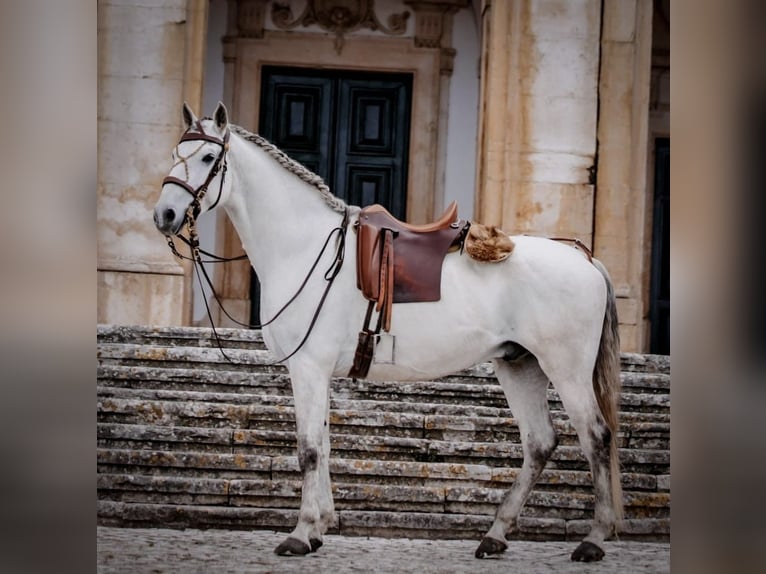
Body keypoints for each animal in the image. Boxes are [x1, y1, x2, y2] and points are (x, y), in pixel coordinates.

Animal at [152, 102, 624, 564]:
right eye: (175, 153)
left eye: (208, 158)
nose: (164, 216)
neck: (304, 247)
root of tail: (583, 258)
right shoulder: (318, 372)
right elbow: (324, 444)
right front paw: (320, 527)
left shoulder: (307, 368)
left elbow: (308, 448)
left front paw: (300, 534)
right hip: (520, 365)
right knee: (540, 442)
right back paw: (495, 535)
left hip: (566, 370)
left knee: (596, 437)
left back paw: (593, 539)